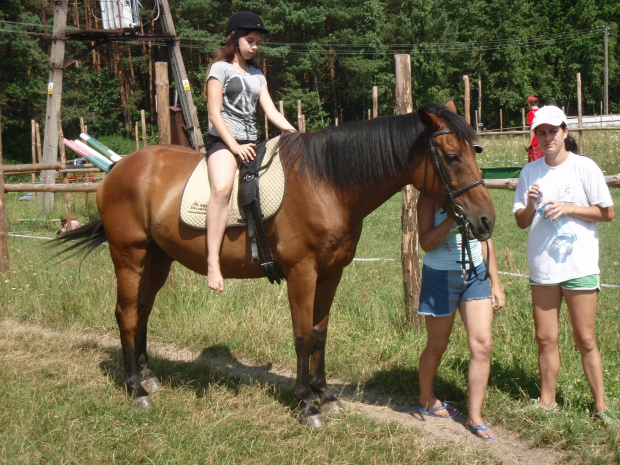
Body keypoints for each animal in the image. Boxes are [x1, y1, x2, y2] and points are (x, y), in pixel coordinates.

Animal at [57, 102, 494, 428]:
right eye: (451, 157)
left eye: (476, 153)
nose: (486, 221)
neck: (328, 182)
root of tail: (118, 168)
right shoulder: (303, 272)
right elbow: (302, 336)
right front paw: (307, 405)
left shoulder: (331, 273)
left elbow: (319, 334)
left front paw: (325, 394)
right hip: (128, 255)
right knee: (126, 314)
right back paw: (135, 389)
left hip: (157, 258)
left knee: (143, 311)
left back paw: (148, 377)